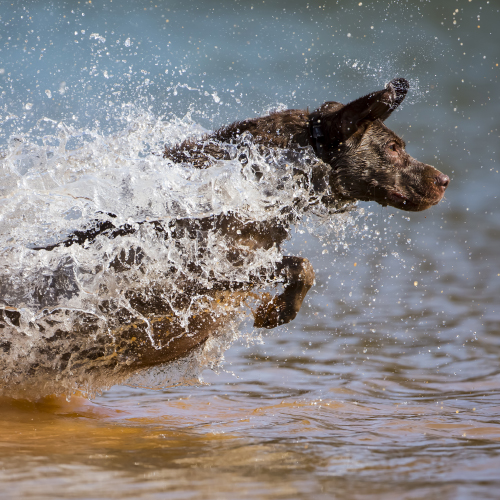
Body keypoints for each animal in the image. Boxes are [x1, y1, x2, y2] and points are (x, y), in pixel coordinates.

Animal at [0, 77, 450, 394]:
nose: (445, 181)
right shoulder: (196, 275)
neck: (260, 183)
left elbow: (299, 266)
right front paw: (277, 311)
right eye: (393, 148)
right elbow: (300, 266)